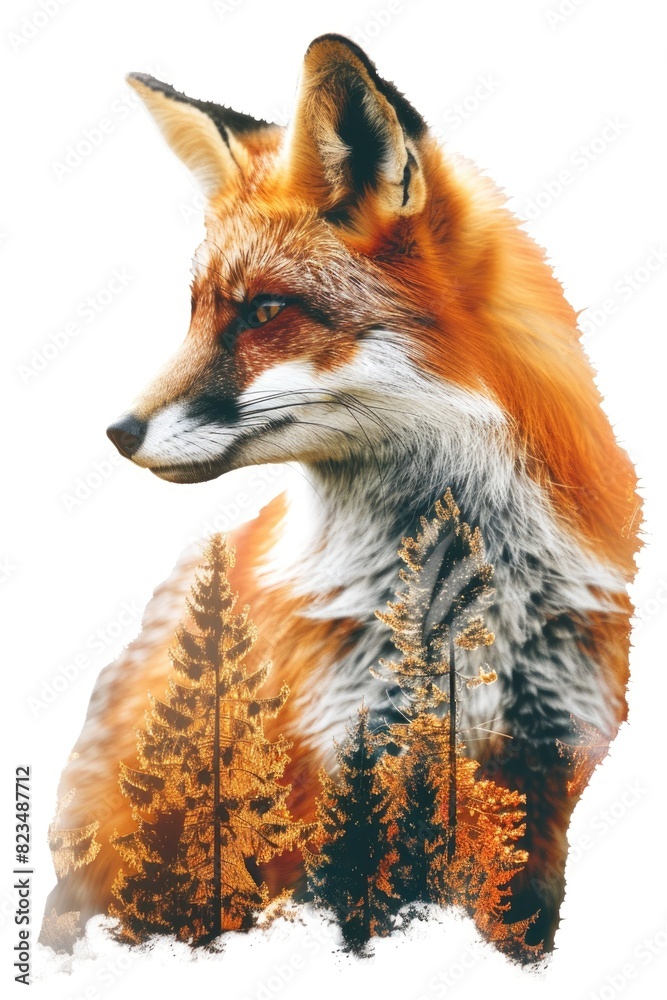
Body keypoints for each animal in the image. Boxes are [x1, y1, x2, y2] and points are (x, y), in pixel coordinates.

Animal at [44, 34, 641, 952]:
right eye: (196, 311)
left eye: (262, 313)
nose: (117, 432)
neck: (452, 614)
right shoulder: (327, 790)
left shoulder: (542, 785)